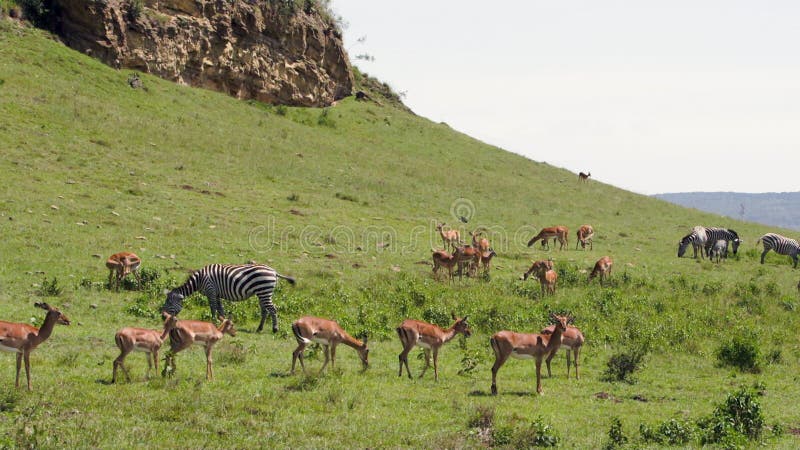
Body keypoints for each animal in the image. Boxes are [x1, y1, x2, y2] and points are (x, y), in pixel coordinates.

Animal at [162, 262, 296, 332]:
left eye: (169, 303)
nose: (163, 317)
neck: (199, 280)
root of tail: (274, 271)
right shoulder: (216, 293)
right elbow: (220, 309)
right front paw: (224, 322)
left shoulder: (211, 291)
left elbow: (213, 308)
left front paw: (214, 322)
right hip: (262, 292)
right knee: (265, 310)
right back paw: (259, 328)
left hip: (264, 291)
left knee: (273, 309)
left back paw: (275, 328)